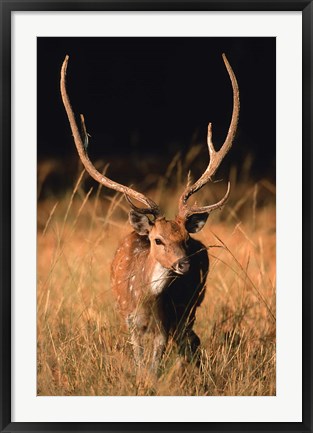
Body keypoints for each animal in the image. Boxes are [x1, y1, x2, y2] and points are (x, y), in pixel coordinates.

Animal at [59, 53, 238, 374]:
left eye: (185, 240)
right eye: (157, 239)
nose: (183, 264)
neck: (145, 303)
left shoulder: (164, 328)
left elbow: (154, 368)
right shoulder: (130, 323)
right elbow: (140, 364)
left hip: (193, 305)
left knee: (192, 341)